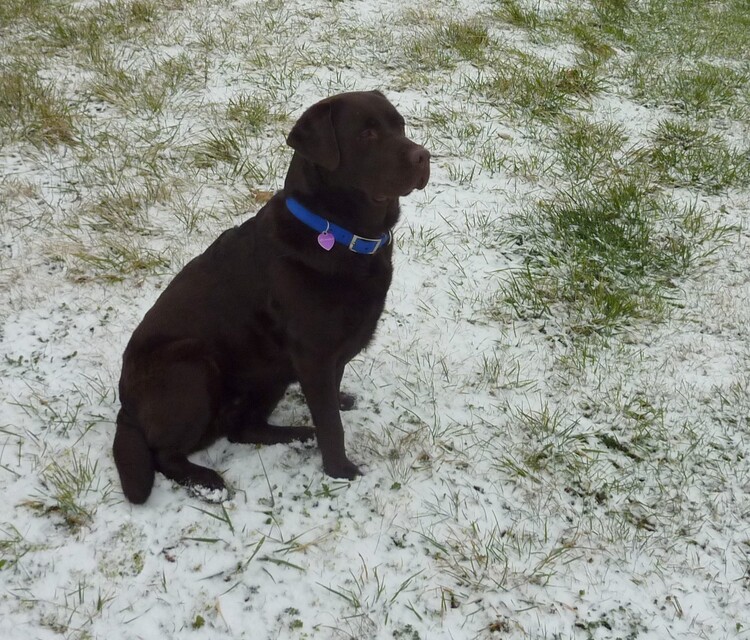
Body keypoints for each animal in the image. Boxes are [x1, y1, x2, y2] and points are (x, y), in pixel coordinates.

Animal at [111, 90, 428, 502]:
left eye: (400, 125)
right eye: (367, 134)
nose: (423, 156)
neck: (341, 234)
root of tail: (127, 409)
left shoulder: (330, 352)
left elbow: (331, 398)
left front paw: (337, 406)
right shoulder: (313, 354)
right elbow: (331, 424)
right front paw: (340, 470)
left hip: (268, 372)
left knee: (243, 429)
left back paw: (299, 435)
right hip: (192, 364)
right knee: (165, 453)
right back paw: (207, 480)